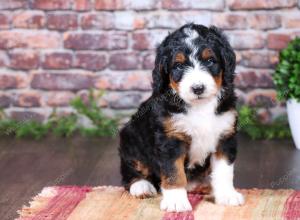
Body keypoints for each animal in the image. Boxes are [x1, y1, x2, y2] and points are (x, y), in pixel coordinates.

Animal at [119, 23, 244, 212]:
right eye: (178, 65)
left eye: (210, 61)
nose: (198, 88)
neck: (200, 107)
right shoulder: (170, 140)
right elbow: (174, 173)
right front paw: (176, 201)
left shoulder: (225, 136)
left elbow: (224, 171)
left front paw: (227, 195)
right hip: (130, 138)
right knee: (131, 170)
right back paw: (141, 186)